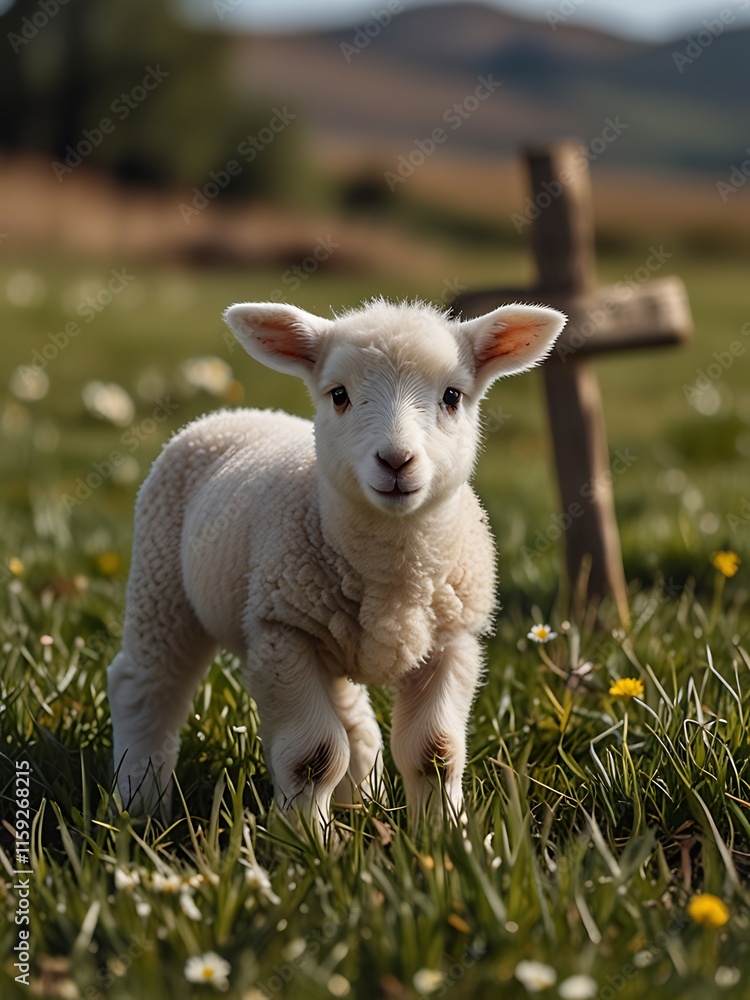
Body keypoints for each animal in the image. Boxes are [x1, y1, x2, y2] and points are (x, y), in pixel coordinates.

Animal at [108, 298, 565, 832]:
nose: (396, 461)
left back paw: (360, 800)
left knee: (354, 717)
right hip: (161, 579)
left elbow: (436, 752)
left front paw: (445, 836)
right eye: (339, 395)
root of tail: (230, 413)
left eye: (452, 396)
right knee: (145, 685)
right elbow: (314, 756)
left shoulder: (452, 643)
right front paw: (306, 839)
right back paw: (140, 803)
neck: (392, 572)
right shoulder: (284, 635)